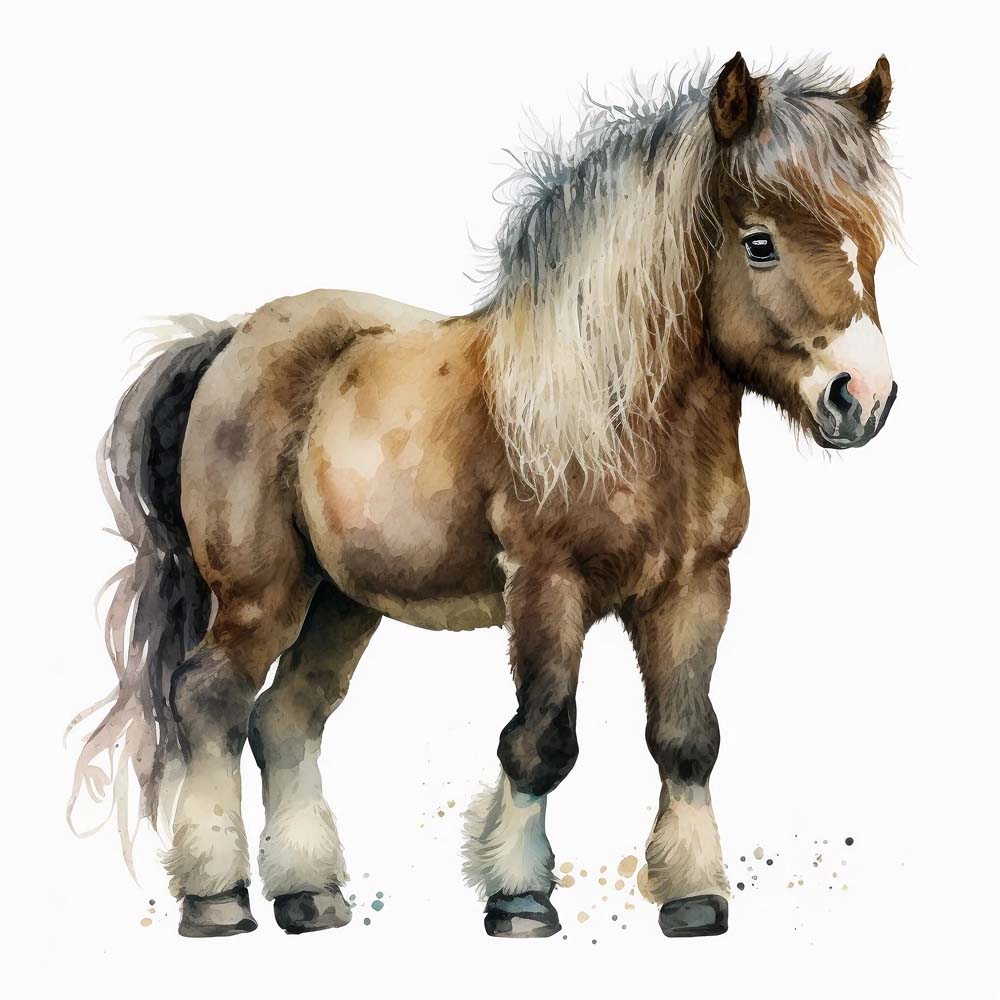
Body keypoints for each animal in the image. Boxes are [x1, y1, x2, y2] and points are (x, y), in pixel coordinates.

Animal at [69, 52, 901, 939]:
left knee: (286, 719)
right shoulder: (545, 584)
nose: (862, 398)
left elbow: (686, 739)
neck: (616, 408)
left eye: (873, 244)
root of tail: (231, 338)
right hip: (263, 593)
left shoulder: (693, 586)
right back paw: (217, 896)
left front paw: (694, 898)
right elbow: (541, 739)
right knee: (211, 701)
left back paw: (308, 893)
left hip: (341, 601)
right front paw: (520, 896)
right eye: (759, 243)